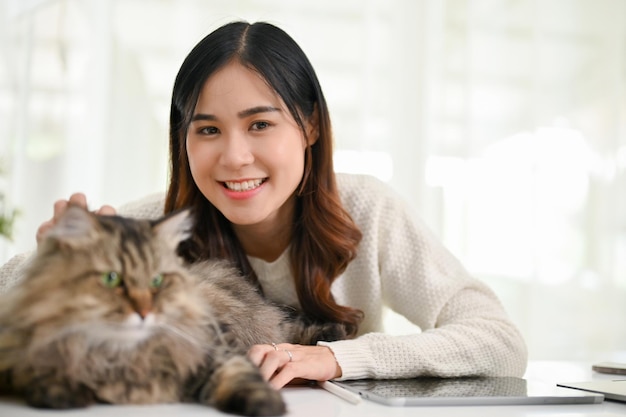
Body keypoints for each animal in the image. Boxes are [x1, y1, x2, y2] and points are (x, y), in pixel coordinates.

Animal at [0, 204, 346, 412]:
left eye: (156, 281)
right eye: (112, 279)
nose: (144, 312)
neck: (123, 354)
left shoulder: (216, 344)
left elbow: (241, 376)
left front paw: (267, 403)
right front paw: (62, 392)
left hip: (266, 321)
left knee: (296, 327)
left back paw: (337, 330)